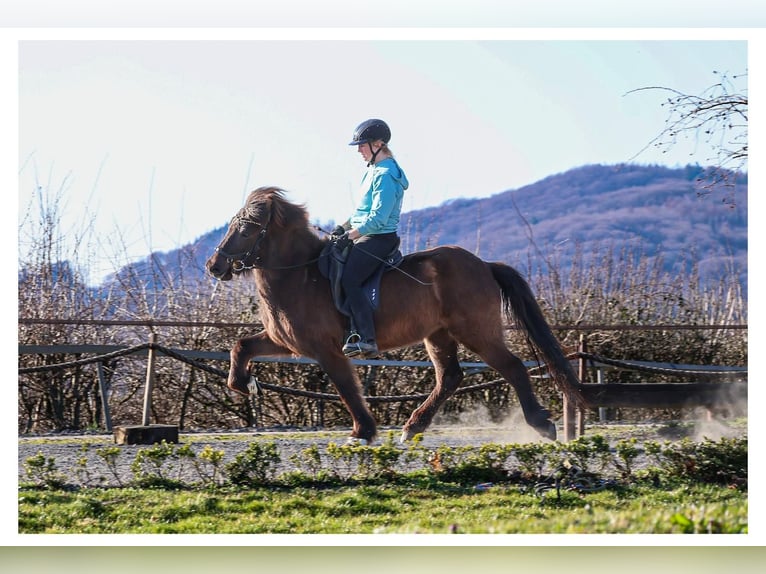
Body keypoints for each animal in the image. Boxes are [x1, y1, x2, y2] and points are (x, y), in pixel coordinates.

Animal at [206, 186, 585, 444]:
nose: (214, 266)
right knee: (449, 377)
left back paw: (542, 424)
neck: (299, 274)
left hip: (477, 332)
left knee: (513, 367)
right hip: (438, 336)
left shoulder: (326, 350)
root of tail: (484, 265)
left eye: (247, 228)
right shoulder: (286, 341)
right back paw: (413, 427)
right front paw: (247, 384)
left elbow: (346, 388)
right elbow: (241, 346)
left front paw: (362, 432)